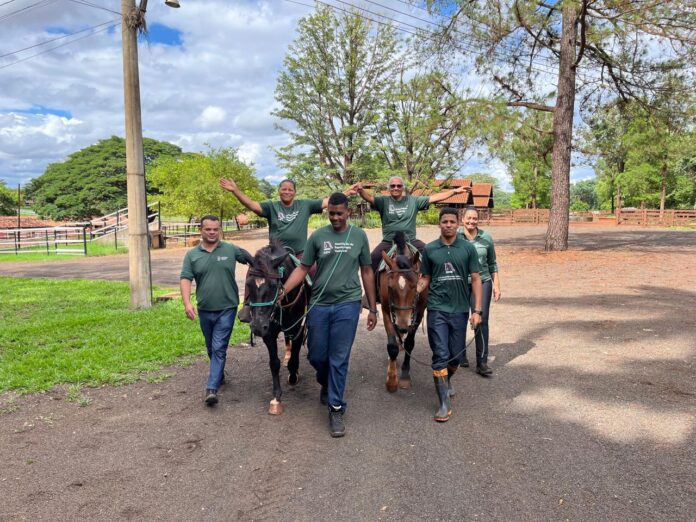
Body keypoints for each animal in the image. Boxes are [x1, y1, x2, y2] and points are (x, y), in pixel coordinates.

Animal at [378, 231, 426, 390]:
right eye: (390, 287)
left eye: (415, 285)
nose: (403, 325)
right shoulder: (386, 310)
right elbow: (392, 345)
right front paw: (392, 380)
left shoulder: (419, 312)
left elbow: (410, 343)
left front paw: (405, 375)